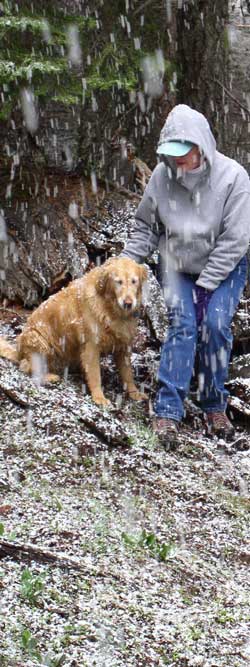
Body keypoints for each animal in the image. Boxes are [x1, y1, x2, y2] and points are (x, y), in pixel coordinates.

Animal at [0, 258, 147, 408]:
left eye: (134, 281)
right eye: (118, 281)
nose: (128, 303)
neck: (111, 309)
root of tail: (19, 352)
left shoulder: (124, 346)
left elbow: (128, 374)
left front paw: (135, 393)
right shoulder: (91, 346)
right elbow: (95, 375)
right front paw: (99, 397)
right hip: (37, 339)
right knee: (28, 367)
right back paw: (49, 376)